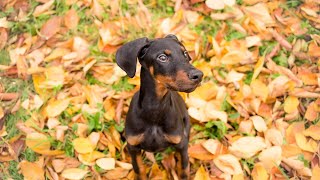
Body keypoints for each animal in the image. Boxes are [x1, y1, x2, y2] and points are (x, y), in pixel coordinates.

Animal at [116, 34, 204, 179]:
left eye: (185, 54)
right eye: (162, 57)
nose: (199, 75)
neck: (155, 108)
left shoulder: (181, 144)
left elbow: (183, 168)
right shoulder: (133, 147)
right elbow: (139, 170)